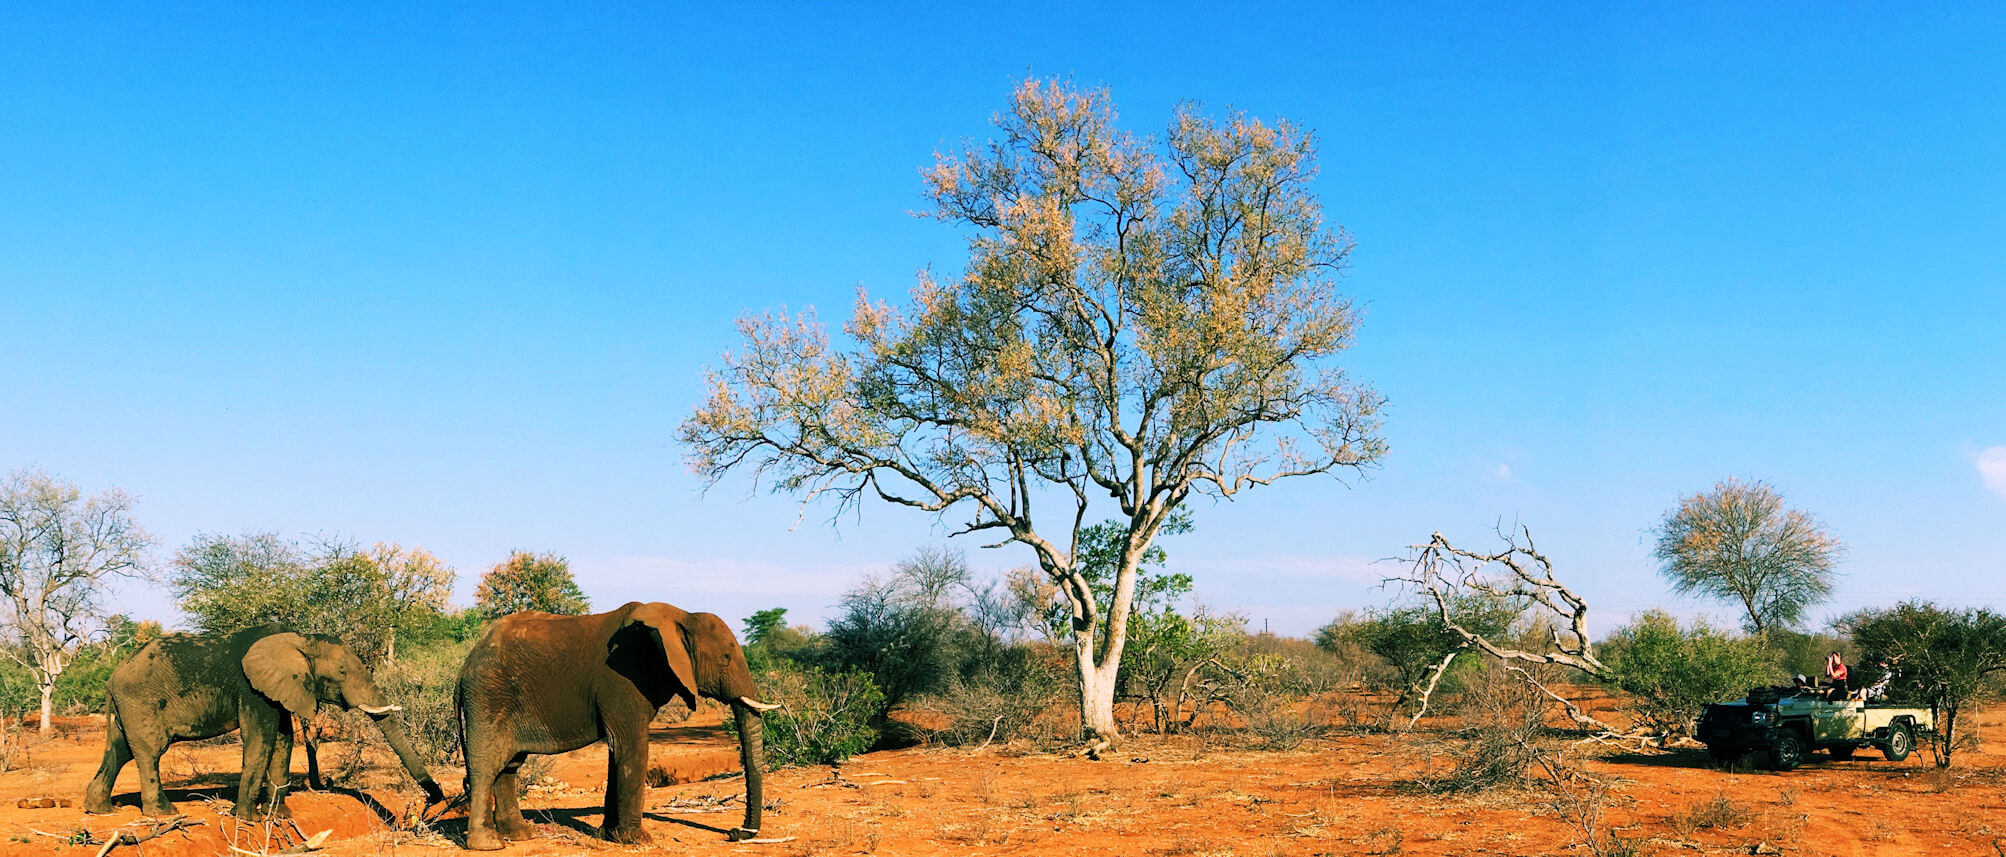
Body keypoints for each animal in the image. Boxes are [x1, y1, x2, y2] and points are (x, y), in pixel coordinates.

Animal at [84, 625, 446, 820]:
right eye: (343, 672)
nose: (435, 799)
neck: (299, 638)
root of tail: (112, 675)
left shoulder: (283, 688)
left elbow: (284, 740)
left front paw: (278, 815)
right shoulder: (252, 688)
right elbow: (262, 738)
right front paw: (248, 820)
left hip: (128, 705)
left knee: (119, 749)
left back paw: (98, 810)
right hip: (140, 701)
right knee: (149, 750)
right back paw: (163, 814)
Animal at [456, 601, 779, 851]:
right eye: (726, 658)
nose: (735, 833)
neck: (682, 615)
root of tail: (464, 667)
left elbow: (618, 752)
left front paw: (607, 835)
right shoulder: (622, 679)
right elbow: (630, 746)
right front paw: (637, 840)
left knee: (508, 766)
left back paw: (521, 836)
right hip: (488, 695)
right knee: (487, 766)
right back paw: (489, 845)